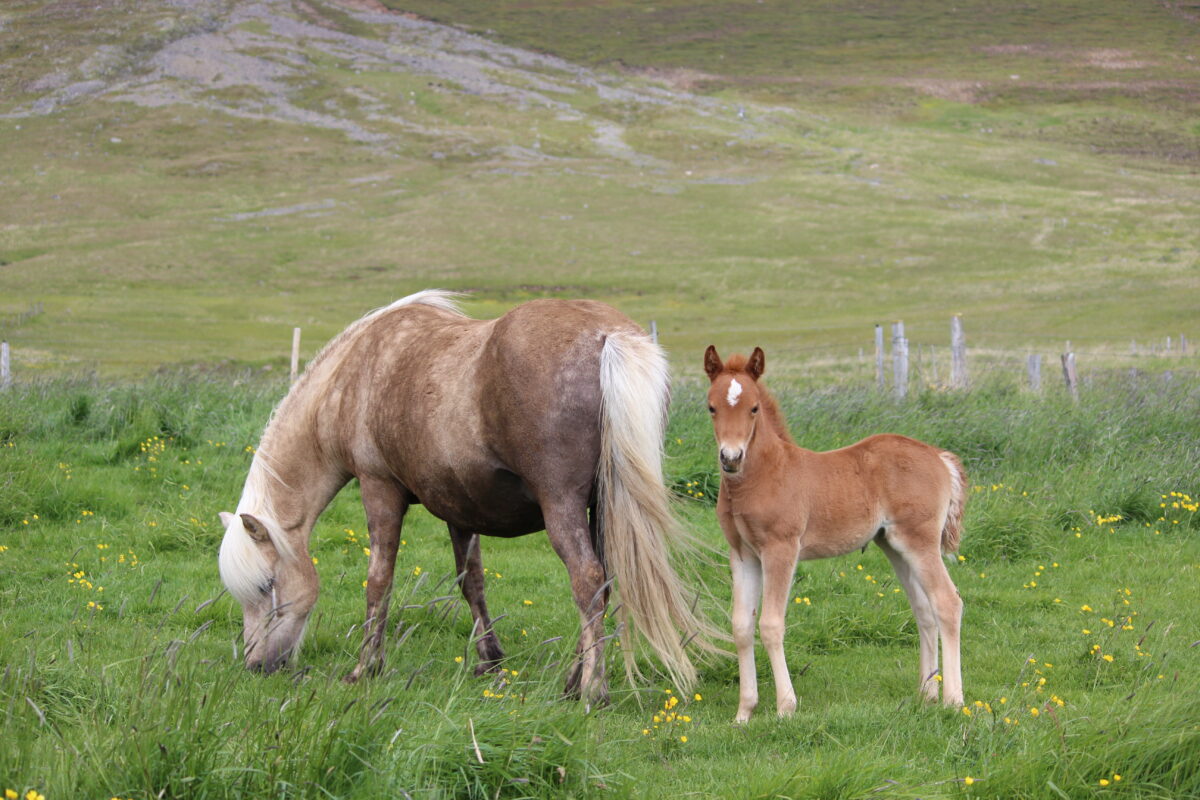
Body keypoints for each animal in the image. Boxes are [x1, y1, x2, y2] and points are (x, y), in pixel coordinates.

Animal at [214, 291, 710, 705]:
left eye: (266, 586)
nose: (256, 664)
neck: (356, 374)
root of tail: (610, 336)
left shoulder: (379, 489)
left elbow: (379, 581)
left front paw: (365, 668)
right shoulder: (460, 510)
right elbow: (471, 581)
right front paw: (489, 659)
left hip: (563, 507)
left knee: (587, 581)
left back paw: (592, 691)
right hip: (600, 508)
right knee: (602, 584)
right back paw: (574, 681)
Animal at [700, 347, 964, 724]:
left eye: (753, 408)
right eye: (711, 407)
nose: (731, 458)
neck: (764, 475)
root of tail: (938, 456)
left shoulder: (781, 549)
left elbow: (771, 624)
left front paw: (786, 708)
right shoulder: (743, 554)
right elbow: (740, 626)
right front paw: (744, 713)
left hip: (920, 541)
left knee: (947, 603)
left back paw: (953, 700)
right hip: (895, 545)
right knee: (923, 610)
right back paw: (927, 694)